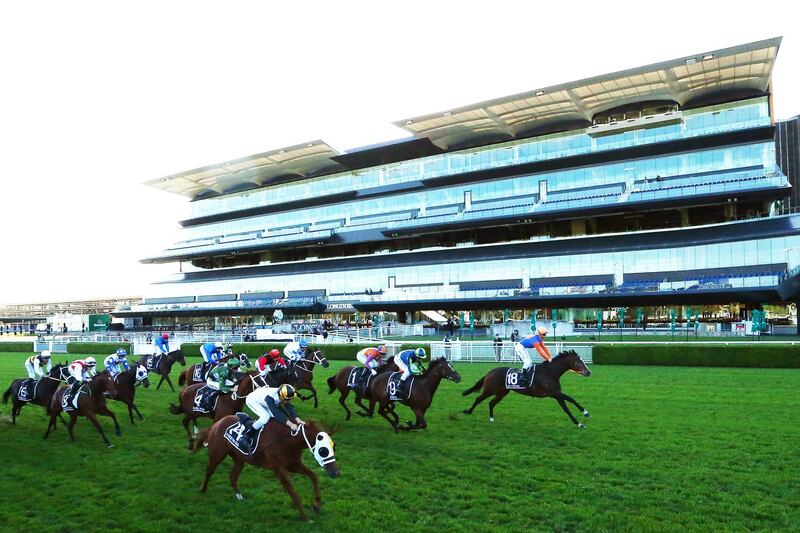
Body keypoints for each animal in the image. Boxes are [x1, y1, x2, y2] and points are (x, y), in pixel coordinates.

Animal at [196, 416, 340, 520]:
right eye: (323, 450)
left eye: (334, 447)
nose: (336, 473)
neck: (286, 440)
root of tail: (217, 423)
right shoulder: (278, 468)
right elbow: (292, 491)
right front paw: (305, 518)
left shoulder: (293, 464)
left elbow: (313, 476)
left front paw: (317, 505)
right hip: (217, 455)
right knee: (209, 470)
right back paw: (202, 489)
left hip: (240, 459)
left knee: (232, 477)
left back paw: (239, 496)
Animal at [462, 350, 592, 428]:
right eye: (578, 362)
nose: (588, 372)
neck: (550, 373)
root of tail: (490, 372)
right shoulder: (554, 393)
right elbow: (571, 399)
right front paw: (585, 413)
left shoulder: (556, 394)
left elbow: (566, 408)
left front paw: (579, 423)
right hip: (490, 390)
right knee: (478, 399)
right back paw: (468, 411)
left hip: (502, 392)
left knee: (491, 403)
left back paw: (491, 418)